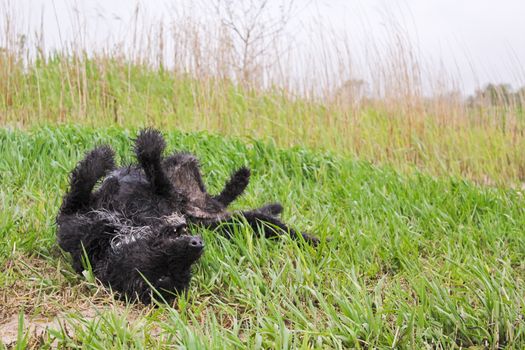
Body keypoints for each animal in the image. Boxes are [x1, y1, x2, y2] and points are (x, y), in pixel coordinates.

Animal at [57, 129, 320, 304]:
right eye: (163, 276)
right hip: (228, 216)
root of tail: (202, 212)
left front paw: (114, 154)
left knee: (215, 195)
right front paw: (130, 151)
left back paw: (243, 180)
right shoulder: (74, 223)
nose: (197, 244)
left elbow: (87, 180)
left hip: (214, 205)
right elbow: (85, 185)